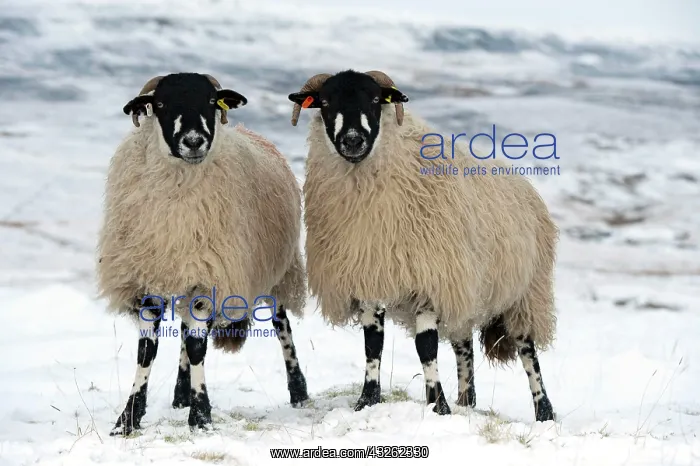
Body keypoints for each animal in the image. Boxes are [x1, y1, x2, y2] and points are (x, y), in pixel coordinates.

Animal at [97, 72, 309, 435]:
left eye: (211, 101)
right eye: (161, 103)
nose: (194, 141)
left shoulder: (210, 275)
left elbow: (198, 348)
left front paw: (200, 416)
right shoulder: (150, 279)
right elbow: (147, 351)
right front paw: (128, 418)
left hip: (276, 271)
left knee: (283, 328)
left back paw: (298, 390)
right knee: (184, 330)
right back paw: (180, 394)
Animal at [288, 69, 558, 421]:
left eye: (375, 99)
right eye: (324, 102)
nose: (353, 140)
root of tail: (525, 186)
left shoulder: (429, 279)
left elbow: (425, 347)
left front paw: (437, 406)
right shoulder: (369, 277)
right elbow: (372, 345)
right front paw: (368, 401)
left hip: (525, 294)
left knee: (528, 353)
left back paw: (544, 412)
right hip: (465, 291)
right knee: (464, 348)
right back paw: (466, 402)